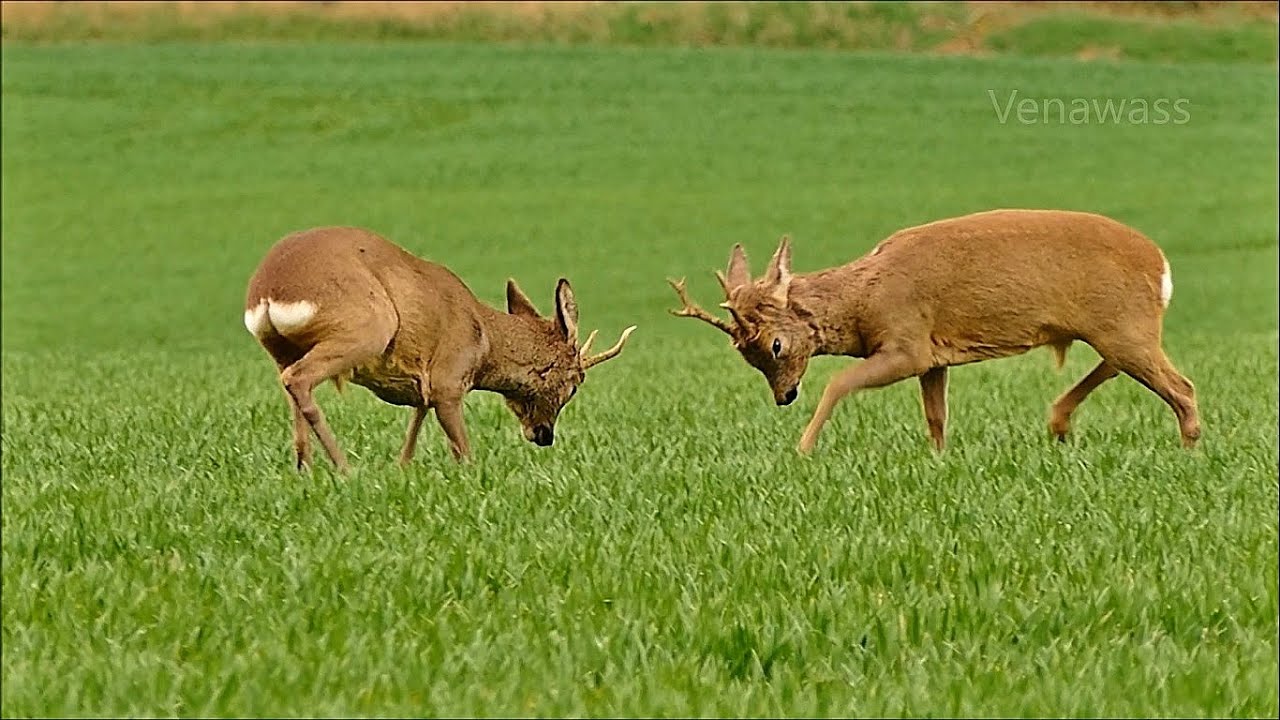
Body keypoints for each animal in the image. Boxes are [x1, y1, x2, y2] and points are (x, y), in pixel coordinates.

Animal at [243, 226, 636, 471]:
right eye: (574, 385)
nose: (544, 436)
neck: (484, 339)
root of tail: (267, 291)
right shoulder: (449, 380)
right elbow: (463, 451)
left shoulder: (423, 385)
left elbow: (412, 434)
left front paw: (401, 470)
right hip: (367, 326)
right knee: (298, 380)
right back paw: (344, 468)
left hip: (281, 348)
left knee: (290, 387)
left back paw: (305, 470)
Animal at [668, 208, 1201, 454]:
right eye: (747, 355)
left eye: (775, 344)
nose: (784, 397)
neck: (864, 299)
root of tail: (1161, 265)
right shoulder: (935, 357)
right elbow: (936, 416)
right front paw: (939, 459)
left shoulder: (907, 344)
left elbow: (840, 381)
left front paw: (802, 450)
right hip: (1118, 329)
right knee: (1118, 369)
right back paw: (1059, 424)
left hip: (1124, 326)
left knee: (1182, 387)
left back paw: (1188, 449)